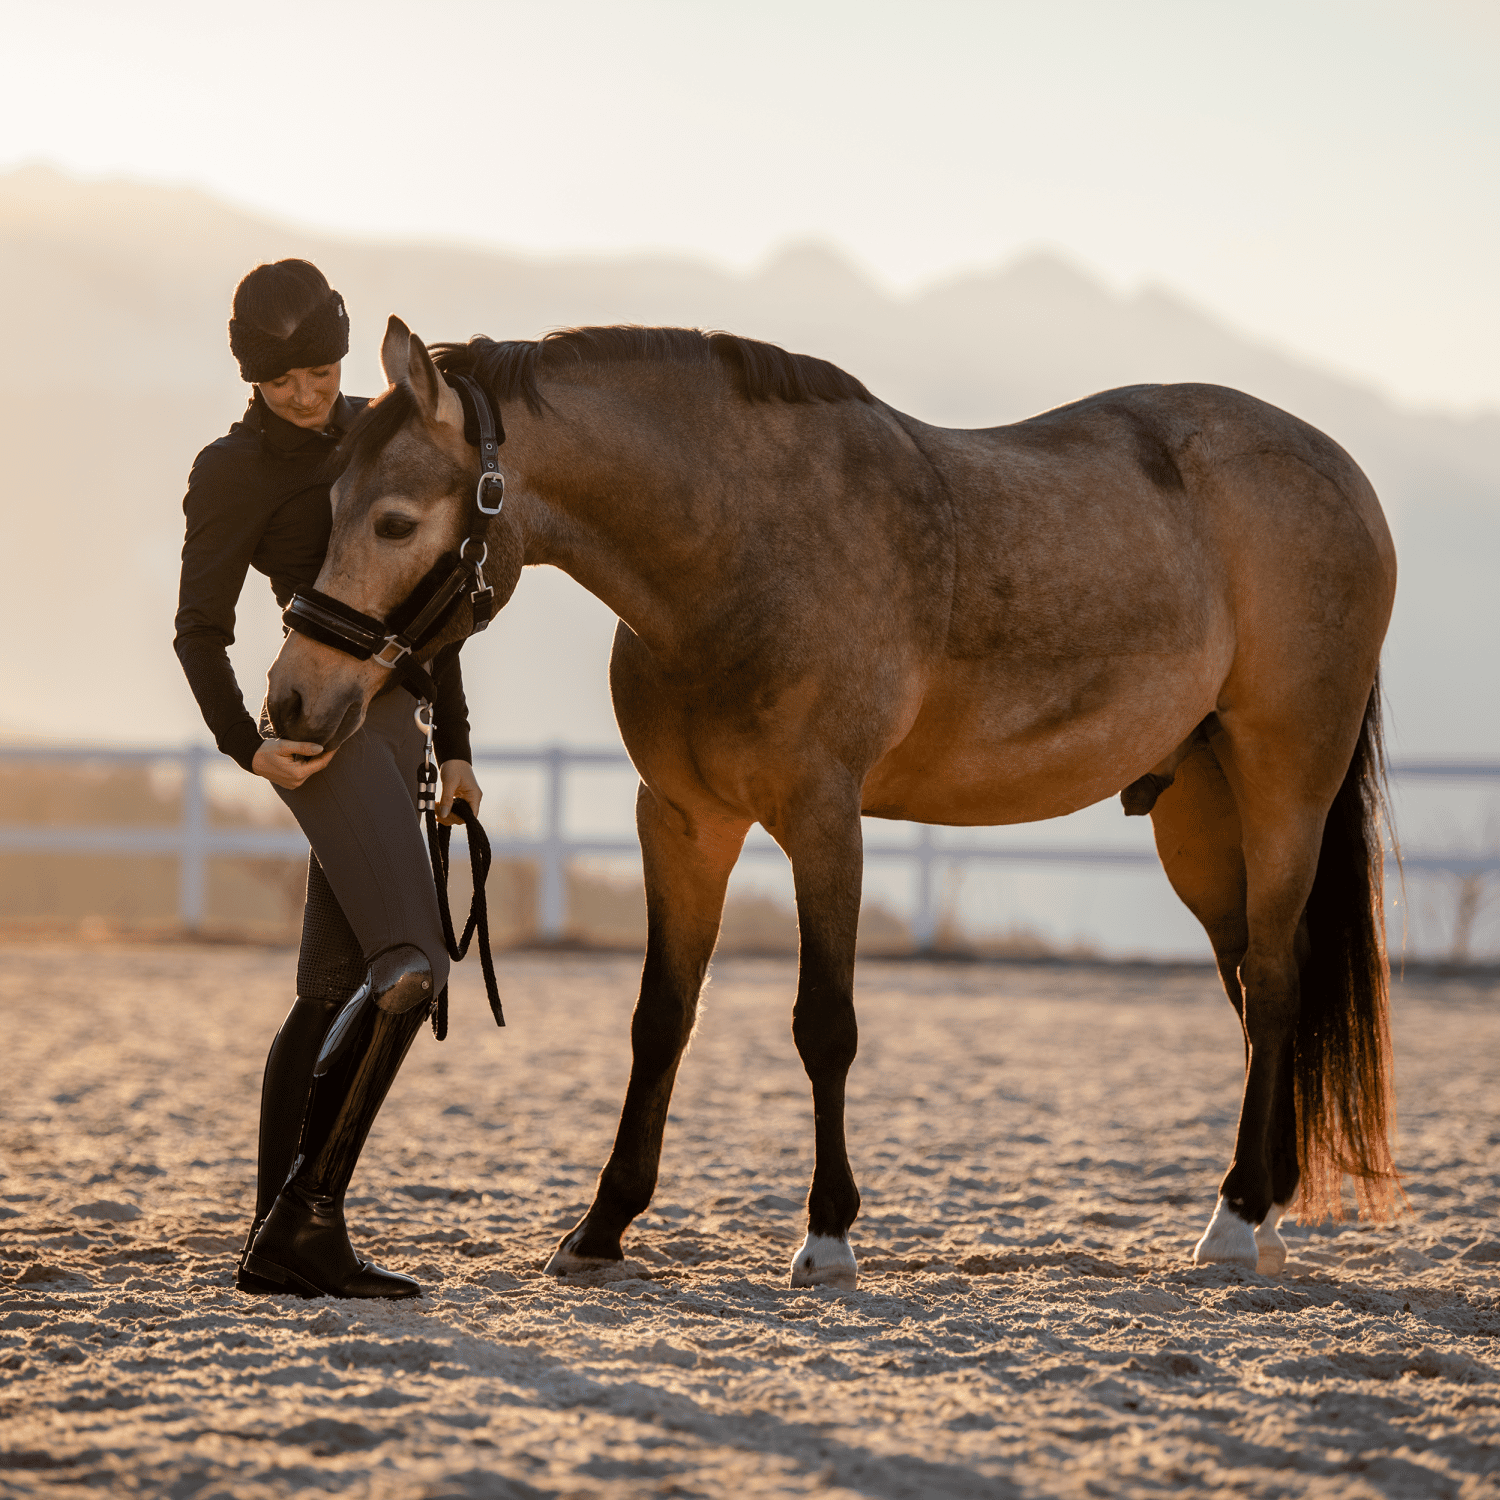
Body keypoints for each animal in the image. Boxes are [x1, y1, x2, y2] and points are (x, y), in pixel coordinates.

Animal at [264, 316, 1398, 1290]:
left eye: (394, 520)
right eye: (328, 506)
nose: (291, 699)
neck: (741, 547)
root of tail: (1340, 473)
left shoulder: (823, 820)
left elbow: (825, 1024)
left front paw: (828, 1235)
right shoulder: (680, 820)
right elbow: (660, 1019)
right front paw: (601, 1227)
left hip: (1283, 783)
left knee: (1276, 981)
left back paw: (1235, 1222)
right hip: (1198, 817)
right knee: (1254, 988)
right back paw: (1265, 1207)